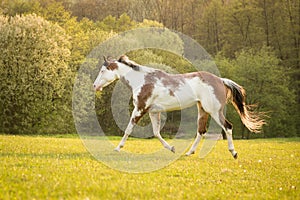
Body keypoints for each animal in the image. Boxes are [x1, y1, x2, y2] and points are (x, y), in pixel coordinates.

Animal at [93, 55, 264, 159]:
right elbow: (156, 132)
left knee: (227, 127)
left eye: (102, 71)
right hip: (202, 110)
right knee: (201, 131)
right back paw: (189, 153)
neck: (142, 81)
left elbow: (129, 129)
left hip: (214, 111)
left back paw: (233, 152)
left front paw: (117, 148)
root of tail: (220, 80)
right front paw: (172, 148)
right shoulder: (153, 112)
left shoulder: (140, 109)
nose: (95, 86)